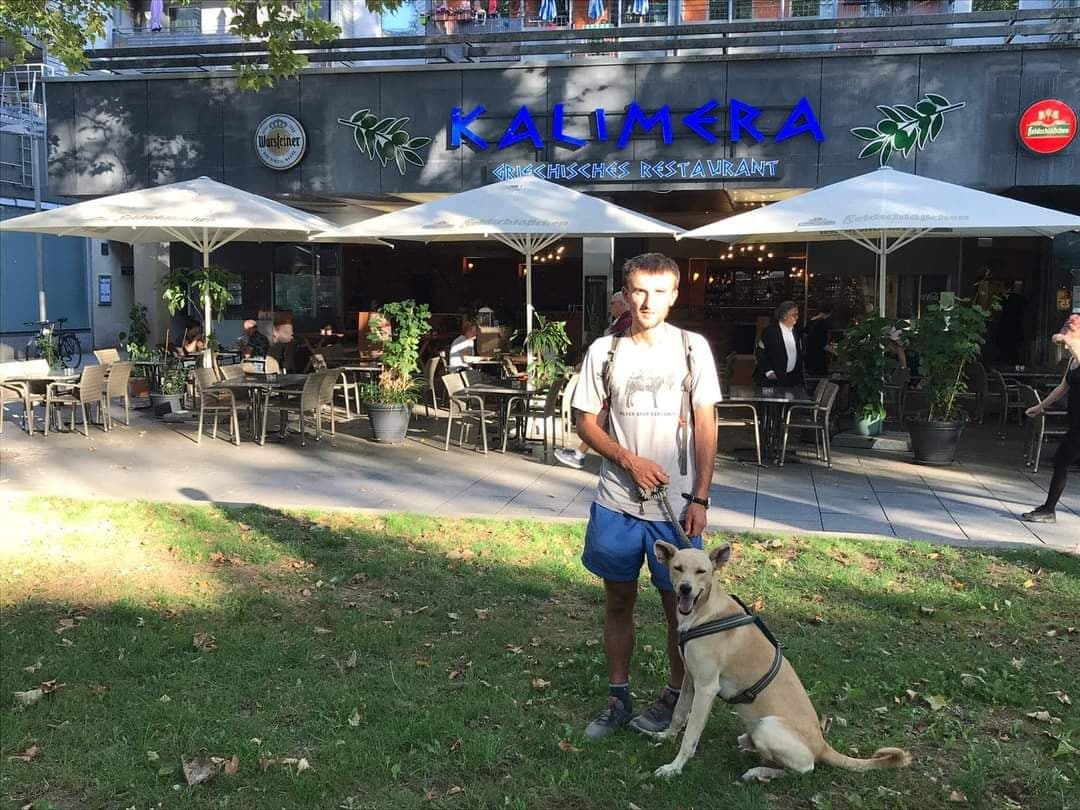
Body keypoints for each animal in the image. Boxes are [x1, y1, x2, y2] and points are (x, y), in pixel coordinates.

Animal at [648, 540, 913, 782]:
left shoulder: (706, 688)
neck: (705, 613)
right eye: (678, 568)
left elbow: (690, 736)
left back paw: (758, 772)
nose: (685, 589)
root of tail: (822, 745)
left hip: (768, 726)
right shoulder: (690, 679)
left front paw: (674, 768)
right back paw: (750, 749)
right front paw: (667, 735)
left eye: (701, 571)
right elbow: (679, 713)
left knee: (804, 769)